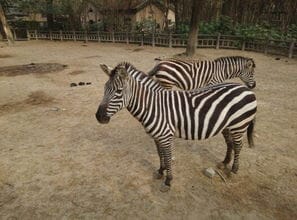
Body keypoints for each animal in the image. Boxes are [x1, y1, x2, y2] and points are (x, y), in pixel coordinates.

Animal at [96, 62, 256, 192]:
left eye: (118, 91)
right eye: (104, 88)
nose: (99, 117)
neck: (153, 106)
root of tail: (246, 89)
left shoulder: (166, 136)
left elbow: (167, 157)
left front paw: (168, 181)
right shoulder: (156, 136)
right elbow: (159, 154)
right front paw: (161, 171)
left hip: (239, 125)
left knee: (238, 146)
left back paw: (233, 170)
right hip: (227, 125)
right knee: (230, 143)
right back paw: (224, 163)